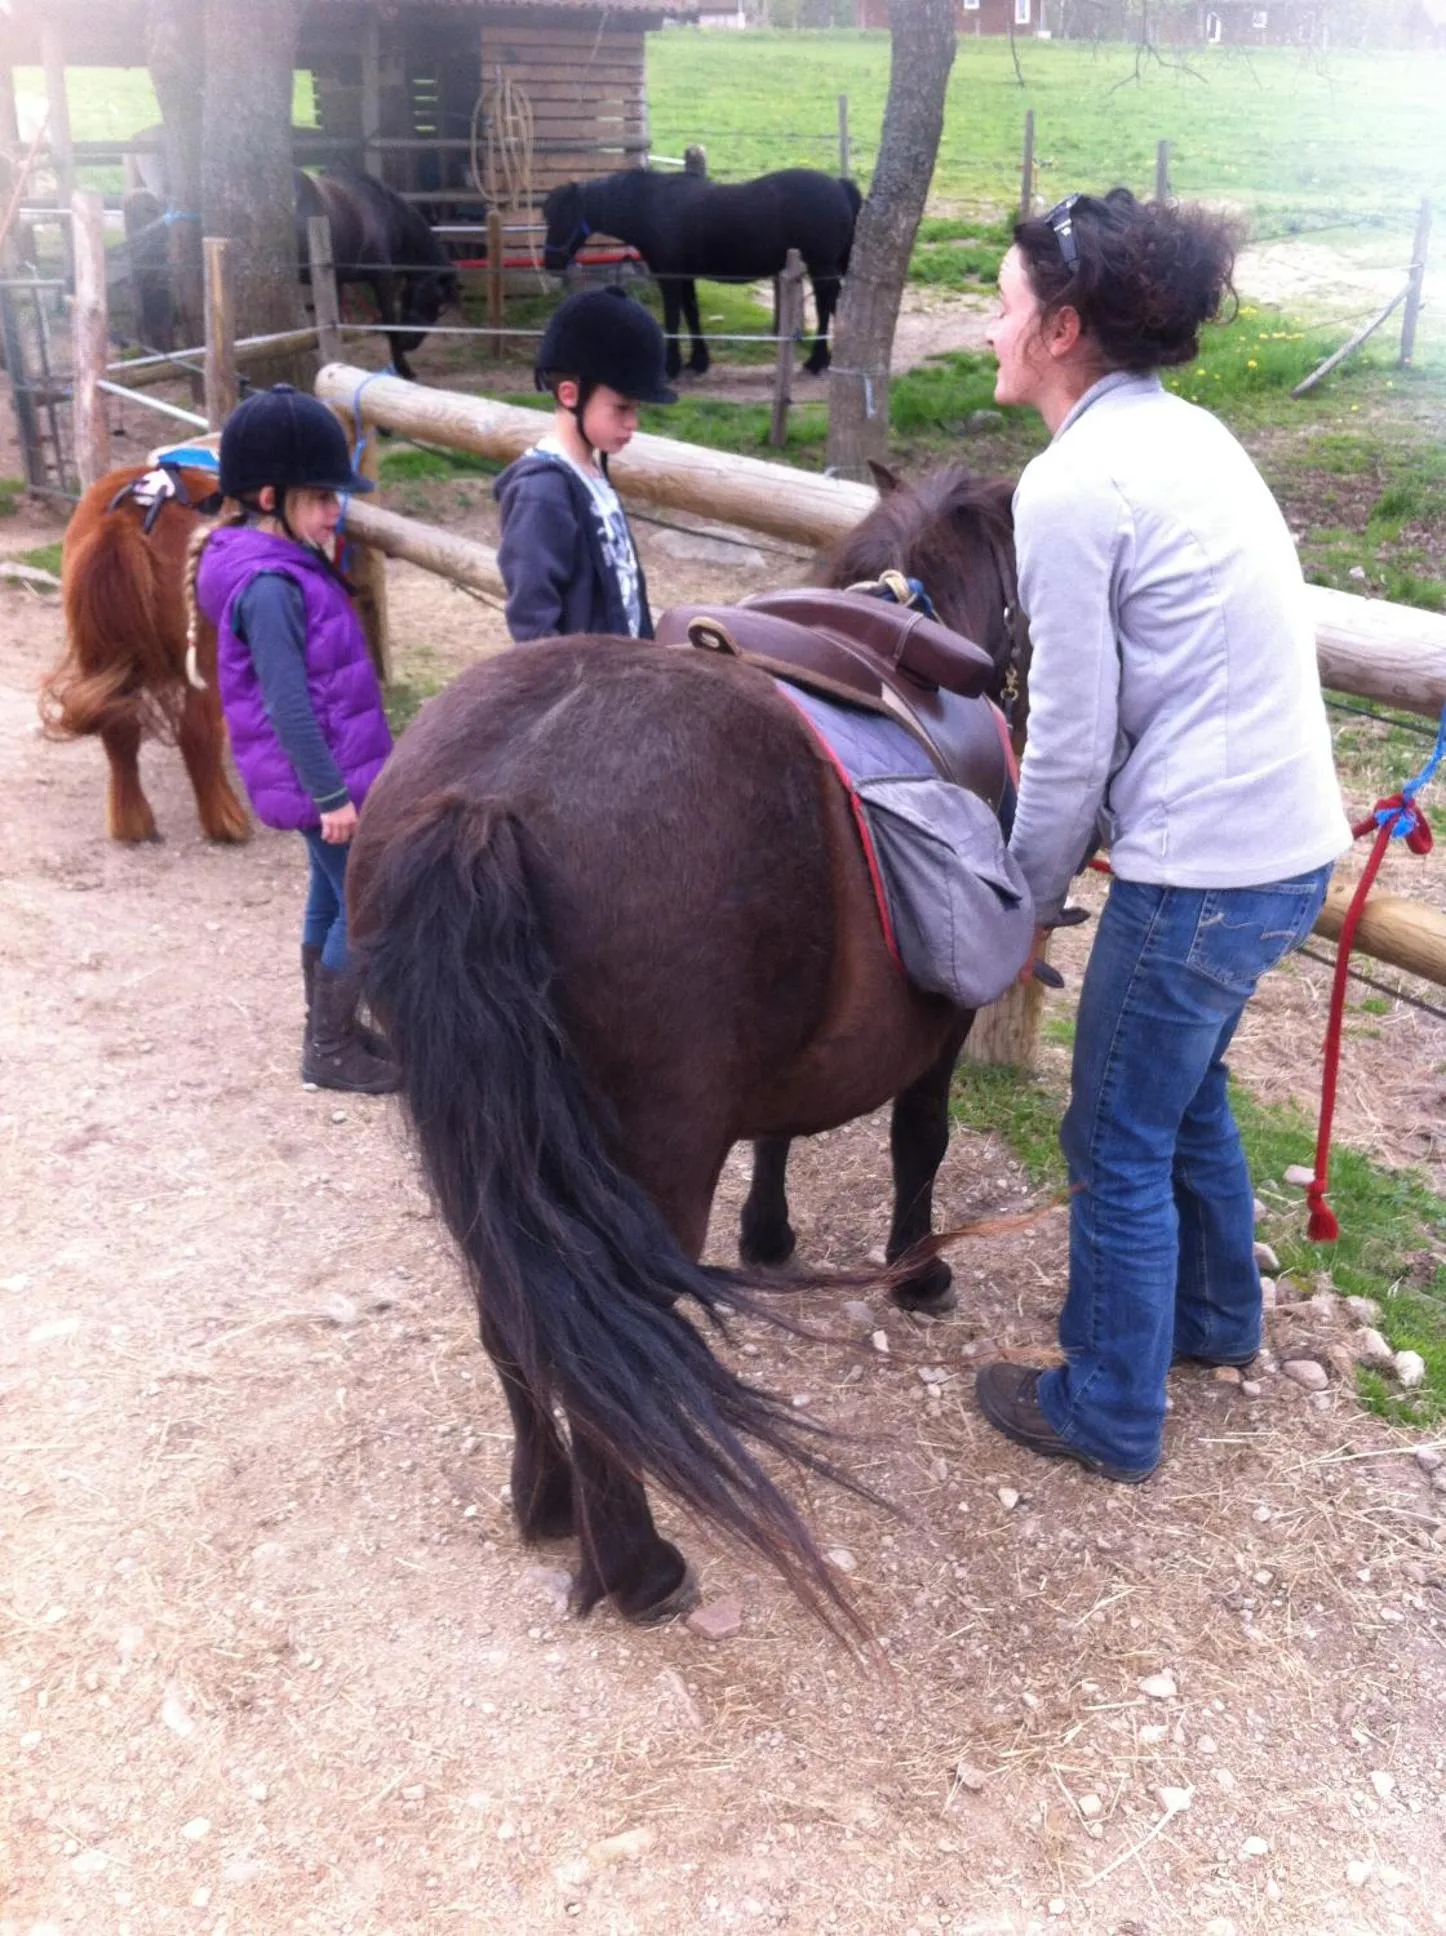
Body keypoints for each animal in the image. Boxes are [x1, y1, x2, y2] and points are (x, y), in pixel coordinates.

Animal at [41, 465, 252, 845]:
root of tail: (125, 516)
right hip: (204, 659)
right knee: (196, 730)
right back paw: (225, 821)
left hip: (107, 660)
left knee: (118, 729)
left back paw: (132, 822)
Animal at [294, 170, 461, 381]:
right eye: (437, 302)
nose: (410, 343)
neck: (387, 215)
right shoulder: (382, 278)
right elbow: (390, 324)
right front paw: (404, 369)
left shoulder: (336, 281)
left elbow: (337, 322)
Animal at [346, 466, 1022, 1635]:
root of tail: (486, 797)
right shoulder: (940, 1032)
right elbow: (920, 1144)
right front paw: (919, 1273)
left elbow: (781, 1133)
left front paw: (769, 1234)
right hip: (636, 1167)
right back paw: (638, 1567)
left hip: (480, 1151)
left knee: (515, 1314)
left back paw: (547, 1501)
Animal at [541, 167, 861, 380]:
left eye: (564, 216)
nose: (551, 261)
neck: (652, 205)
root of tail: (837, 185)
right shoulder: (684, 277)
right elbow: (691, 313)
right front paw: (698, 360)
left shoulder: (669, 277)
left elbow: (672, 318)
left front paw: (671, 366)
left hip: (821, 266)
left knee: (827, 307)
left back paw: (819, 362)